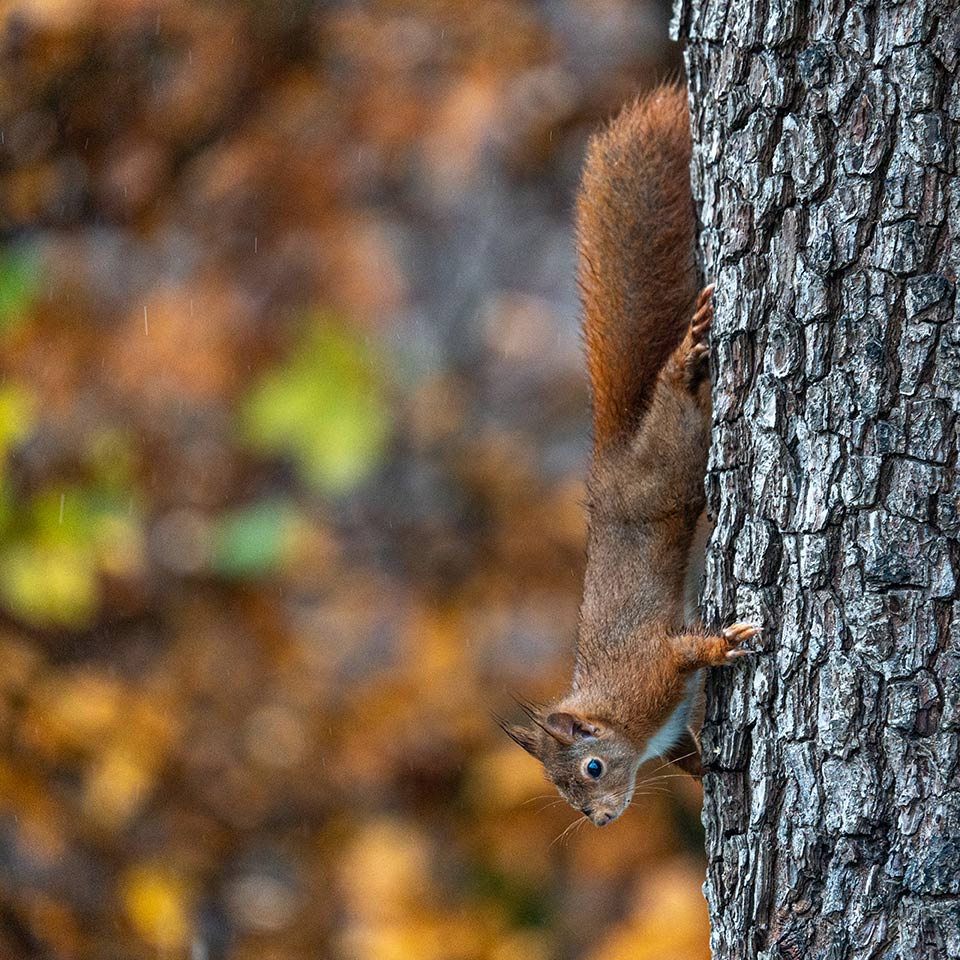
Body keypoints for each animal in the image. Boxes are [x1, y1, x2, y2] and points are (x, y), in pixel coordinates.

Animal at [502, 86, 756, 828]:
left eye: (591, 767)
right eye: (564, 789)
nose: (601, 820)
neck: (618, 713)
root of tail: (613, 457)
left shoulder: (653, 667)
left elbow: (692, 649)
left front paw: (728, 642)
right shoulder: (664, 733)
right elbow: (688, 753)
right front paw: (708, 775)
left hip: (672, 457)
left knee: (674, 396)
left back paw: (690, 352)